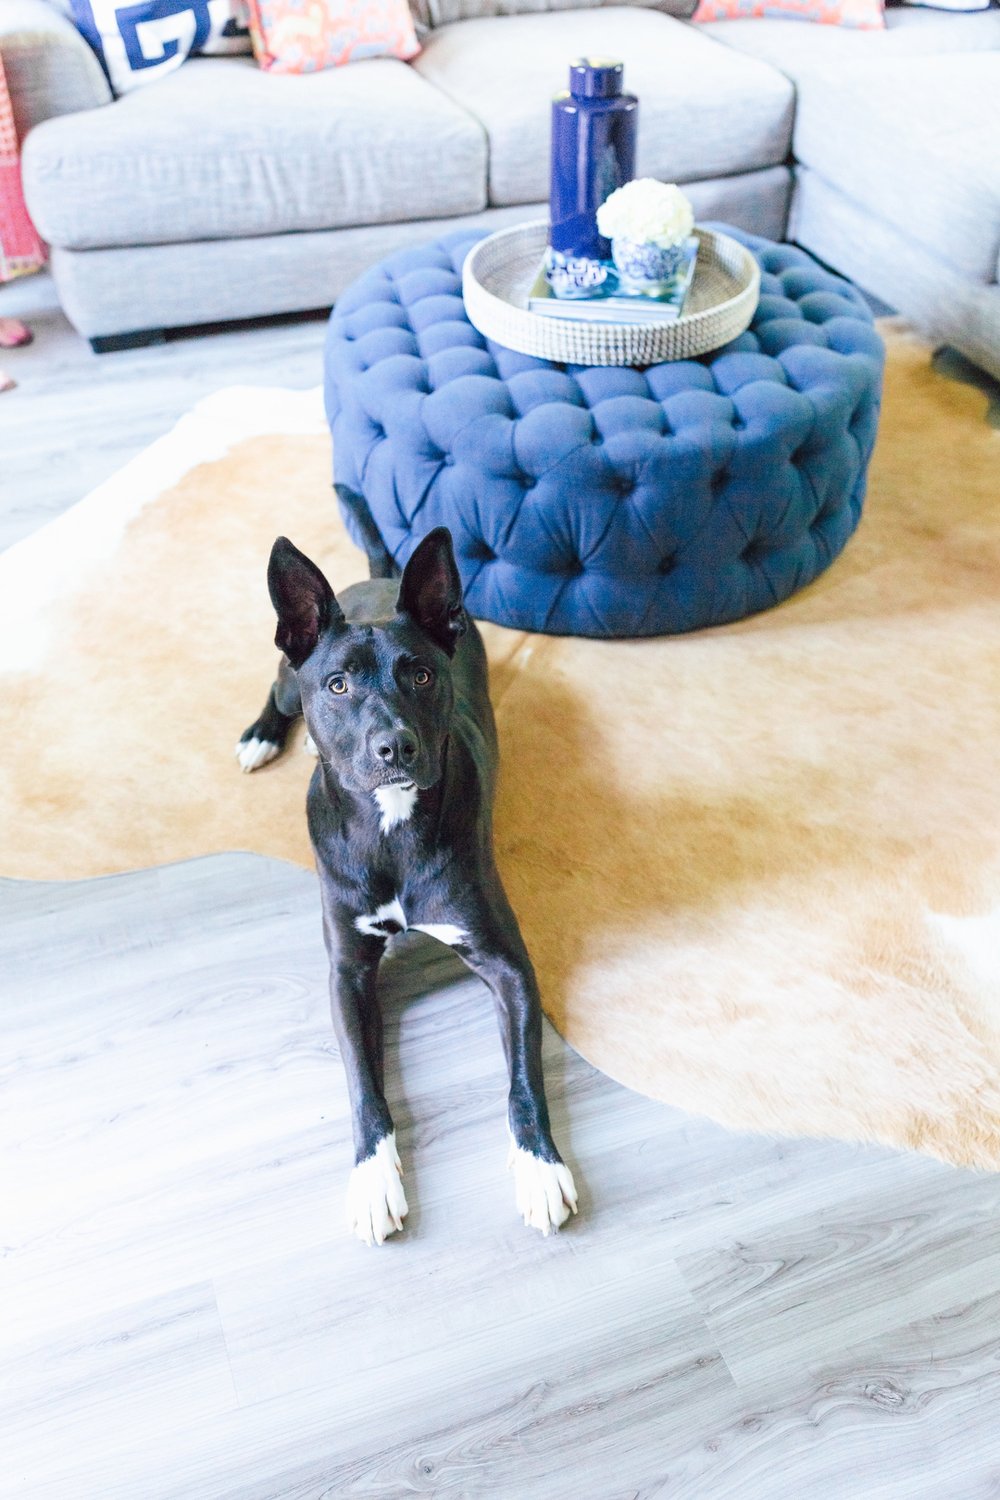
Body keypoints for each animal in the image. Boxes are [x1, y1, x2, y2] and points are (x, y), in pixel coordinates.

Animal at [236, 528, 578, 1242]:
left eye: (420, 674)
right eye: (338, 685)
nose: (394, 747)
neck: (391, 827)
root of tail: (382, 576)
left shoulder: (508, 964)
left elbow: (525, 1078)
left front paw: (539, 1166)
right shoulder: (347, 974)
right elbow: (364, 1086)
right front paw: (372, 1179)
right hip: (286, 678)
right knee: (276, 695)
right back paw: (262, 736)